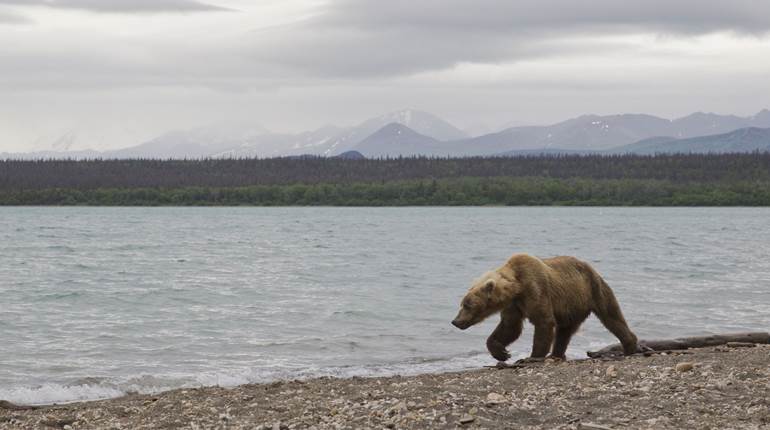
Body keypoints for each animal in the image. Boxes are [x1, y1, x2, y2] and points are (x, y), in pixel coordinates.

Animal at [451, 254, 639, 361]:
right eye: (462, 304)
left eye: (467, 305)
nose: (455, 321)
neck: (516, 287)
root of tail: (591, 268)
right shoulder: (514, 304)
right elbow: (510, 327)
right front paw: (501, 353)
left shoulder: (535, 289)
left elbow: (543, 321)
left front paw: (532, 356)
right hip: (571, 306)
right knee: (564, 331)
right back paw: (556, 354)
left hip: (594, 289)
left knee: (611, 316)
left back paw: (630, 345)